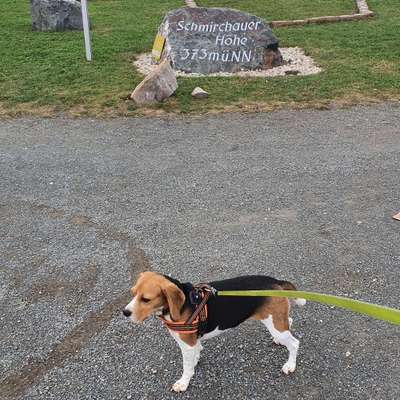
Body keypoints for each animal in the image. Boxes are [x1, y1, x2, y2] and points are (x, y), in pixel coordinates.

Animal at [123, 270, 304, 392]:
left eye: (146, 299)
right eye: (132, 293)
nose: (125, 312)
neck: (183, 304)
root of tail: (276, 281)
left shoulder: (186, 344)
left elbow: (186, 367)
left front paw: (183, 382)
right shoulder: (192, 342)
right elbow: (196, 352)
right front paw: (195, 360)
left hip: (276, 325)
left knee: (294, 343)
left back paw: (290, 365)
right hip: (276, 320)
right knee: (289, 322)